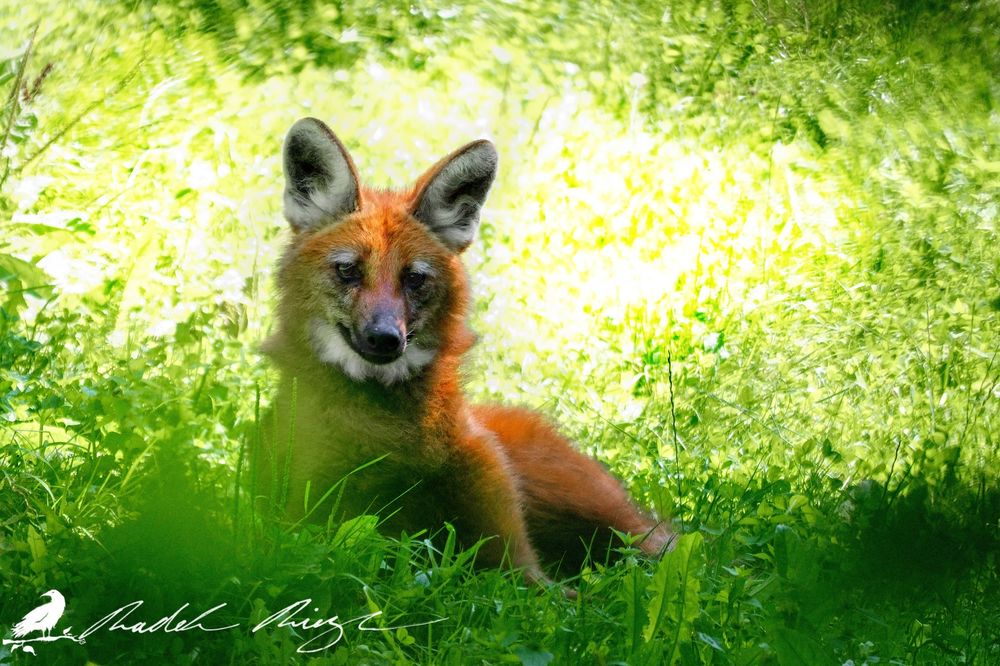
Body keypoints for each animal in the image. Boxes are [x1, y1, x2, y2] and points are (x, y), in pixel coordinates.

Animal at [255, 117, 674, 589]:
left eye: (414, 278)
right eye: (348, 270)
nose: (385, 338)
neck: (386, 431)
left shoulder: (494, 502)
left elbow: (531, 580)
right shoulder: (308, 513)